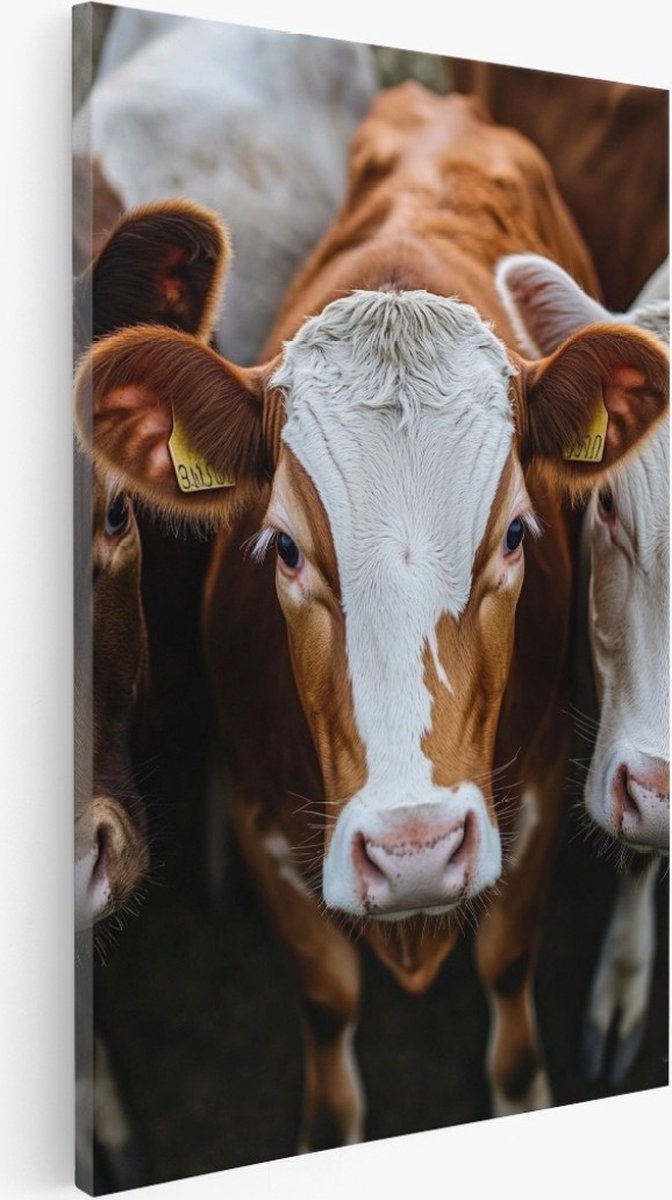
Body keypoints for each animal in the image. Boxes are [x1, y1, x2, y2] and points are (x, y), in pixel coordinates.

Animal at [73, 84, 669, 1151]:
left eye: (516, 533)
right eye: (283, 546)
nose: (414, 851)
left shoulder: (535, 793)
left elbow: (509, 989)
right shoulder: (273, 832)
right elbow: (326, 1015)